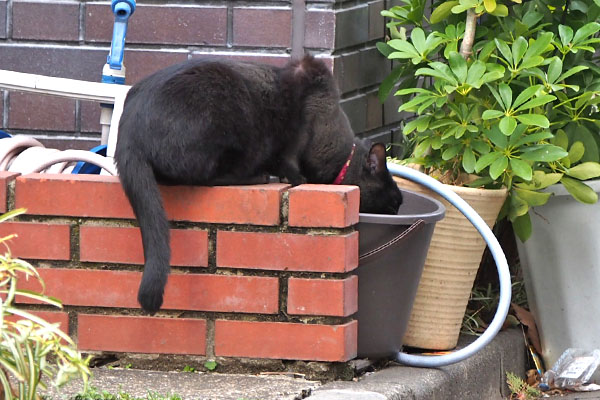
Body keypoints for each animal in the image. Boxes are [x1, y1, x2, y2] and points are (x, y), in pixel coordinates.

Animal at [113, 55, 404, 312]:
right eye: (394, 203)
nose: (399, 211)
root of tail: (128, 131)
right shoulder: (294, 141)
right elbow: (291, 162)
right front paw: (295, 179)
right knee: (204, 176)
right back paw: (256, 175)